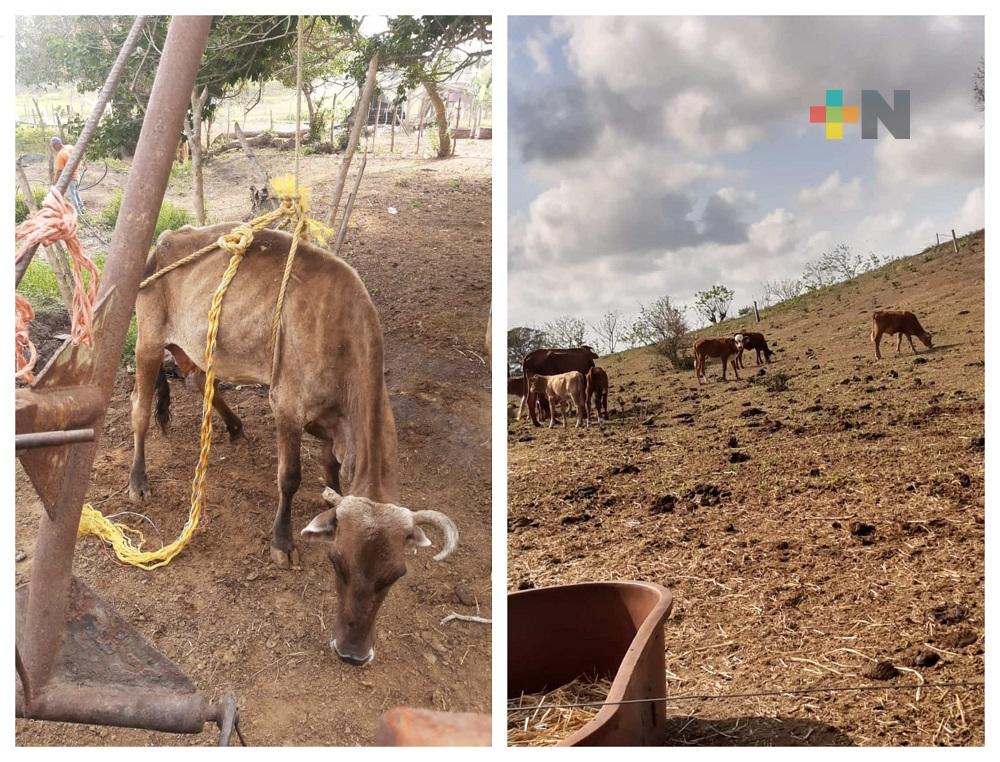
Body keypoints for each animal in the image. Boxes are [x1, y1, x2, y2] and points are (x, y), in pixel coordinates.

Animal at [130, 223, 460, 664]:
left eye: (396, 575)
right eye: (337, 563)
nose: (352, 654)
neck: (341, 335)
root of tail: (168, 237)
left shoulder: (332, 426)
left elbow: (331, 470)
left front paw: (329, 503)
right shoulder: (286, 407)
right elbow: (290, 477)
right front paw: (282, 542)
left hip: (196, 349)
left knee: (199, 381)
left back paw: (234, 425)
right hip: (148, 340)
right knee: (140, 409)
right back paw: (138, 481)